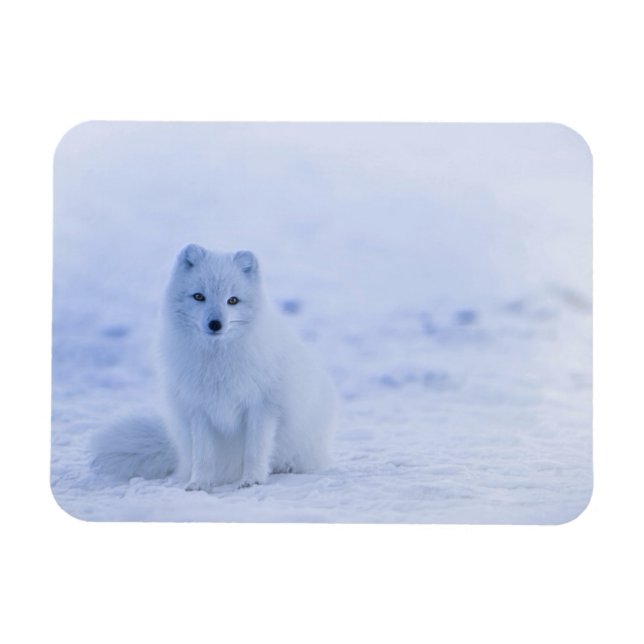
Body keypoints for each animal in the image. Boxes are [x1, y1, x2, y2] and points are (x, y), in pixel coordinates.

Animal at [91, 244, 337, 491]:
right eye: (199, 296)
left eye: (233, 300)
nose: (215, 324)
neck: (217, 361)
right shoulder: (199, 409)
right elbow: (203, 456)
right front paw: (198, 484)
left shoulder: (262, 406)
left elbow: (255, 450)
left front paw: (252, 480)